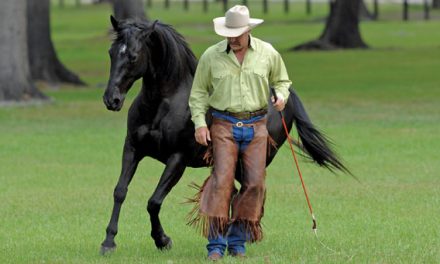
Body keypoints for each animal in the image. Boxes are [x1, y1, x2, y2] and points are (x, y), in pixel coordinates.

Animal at [100, 16, 348, 254]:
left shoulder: (177, 159)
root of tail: (280, 96)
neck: (164, 104)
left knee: (251, 192)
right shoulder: (132, 149)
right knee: (237, 193)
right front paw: (109, 242)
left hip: (251, 161)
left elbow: (154, 201)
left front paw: (162, 240)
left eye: (133, 56)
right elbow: (120, 192)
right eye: (111, 52)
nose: (111, 99)